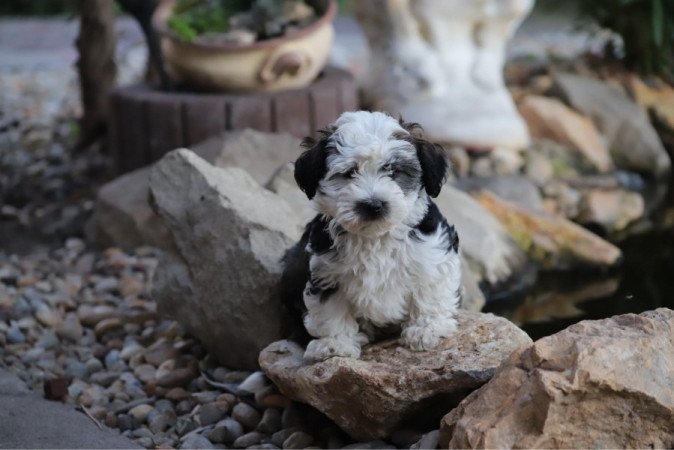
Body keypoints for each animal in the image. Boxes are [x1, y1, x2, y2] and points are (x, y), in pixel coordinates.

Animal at [280, 110, 460, 362]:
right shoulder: (326, 273)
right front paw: (335, 344)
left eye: (394, 171)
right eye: (348, 173)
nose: (373, 205)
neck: (376, 237)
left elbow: (430, 292)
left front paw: (426, 329)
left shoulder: (433, 255)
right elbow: (330, 310)